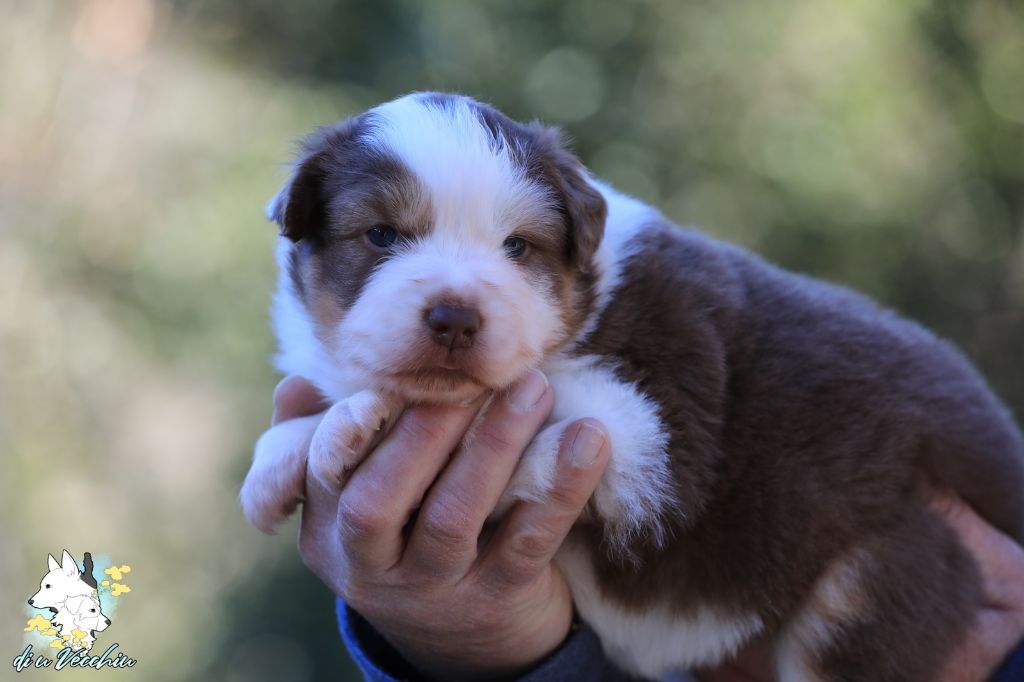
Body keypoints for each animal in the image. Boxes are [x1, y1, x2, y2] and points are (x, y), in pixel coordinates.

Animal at [241, 91, 1024, 679]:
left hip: (868, 588)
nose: (456, 319)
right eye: (381, 236)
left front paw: (341, 428)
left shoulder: (649, 431)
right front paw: (278, 463)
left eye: (517, 247)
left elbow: (492, 419)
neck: (580, 307)